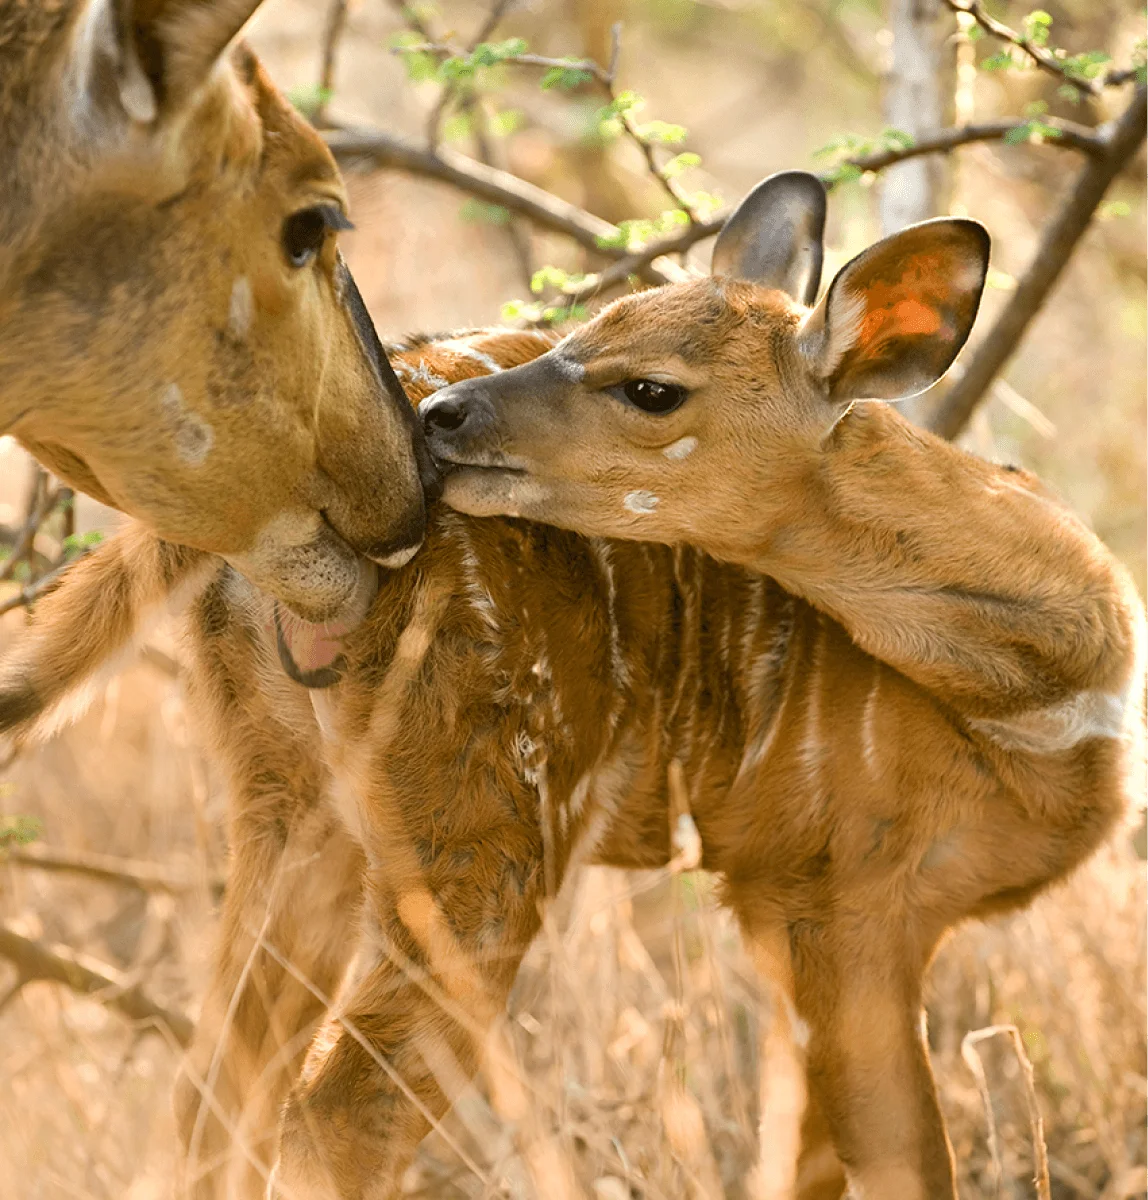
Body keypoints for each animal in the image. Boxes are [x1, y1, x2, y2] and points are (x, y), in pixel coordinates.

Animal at [0, 177, 1142, 1200]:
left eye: (650, 386)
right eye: (584, 329)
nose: (438, 417)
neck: (1050, 700)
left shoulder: (795, 907)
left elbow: (804, 1158)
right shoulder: (841, 896)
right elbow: (903, 1162)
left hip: (294, 799)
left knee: (215, 1086)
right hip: (488, 829)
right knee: (338, 1108)